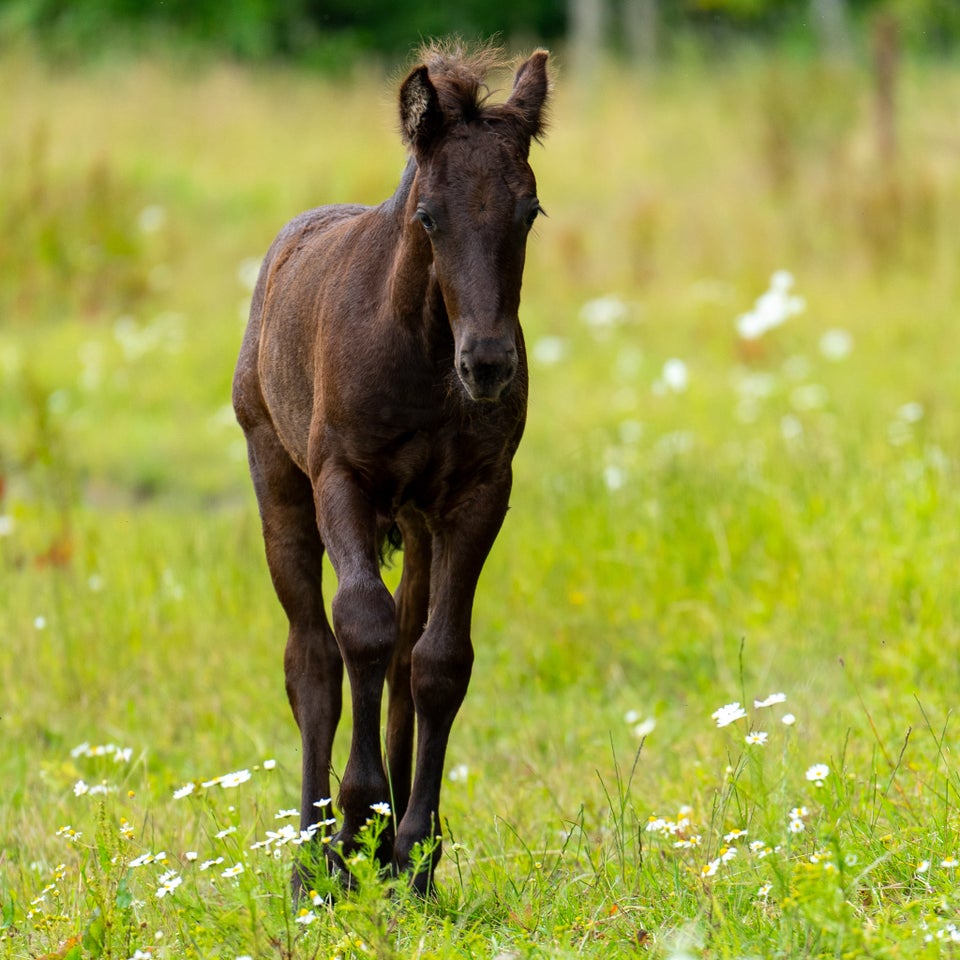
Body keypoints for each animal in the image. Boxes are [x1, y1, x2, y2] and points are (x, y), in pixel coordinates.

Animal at [232, 39, 548, 892]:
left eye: (529, 212)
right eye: (429, 216)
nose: (489, 365)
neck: (422, 348)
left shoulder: (478, 495)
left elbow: (438, 660)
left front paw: (413, 852)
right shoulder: (342, 480)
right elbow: (360, 630)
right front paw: (355, 820)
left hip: (418, 519)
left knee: (407, 651)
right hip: (278, 481)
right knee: (311, 657)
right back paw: (312, 859)